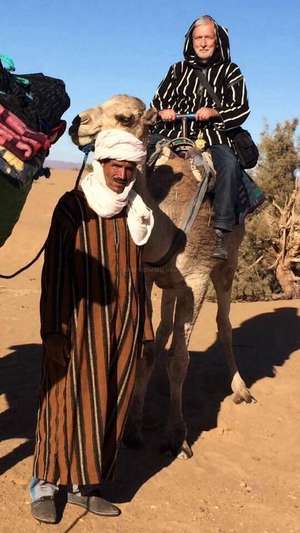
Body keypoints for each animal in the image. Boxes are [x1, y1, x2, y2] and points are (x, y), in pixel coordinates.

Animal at [69, 94, 253, 458]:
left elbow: (180, 360)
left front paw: (177, 436)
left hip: (227, 264)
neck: (167, 226)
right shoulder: (146, 275)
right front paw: (134, 427)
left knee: (224, 324)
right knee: (167, 326)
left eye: (125, 117)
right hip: (169, 284)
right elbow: (147, 350)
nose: (76, 124)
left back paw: (240, 389)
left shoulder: (196, 280)